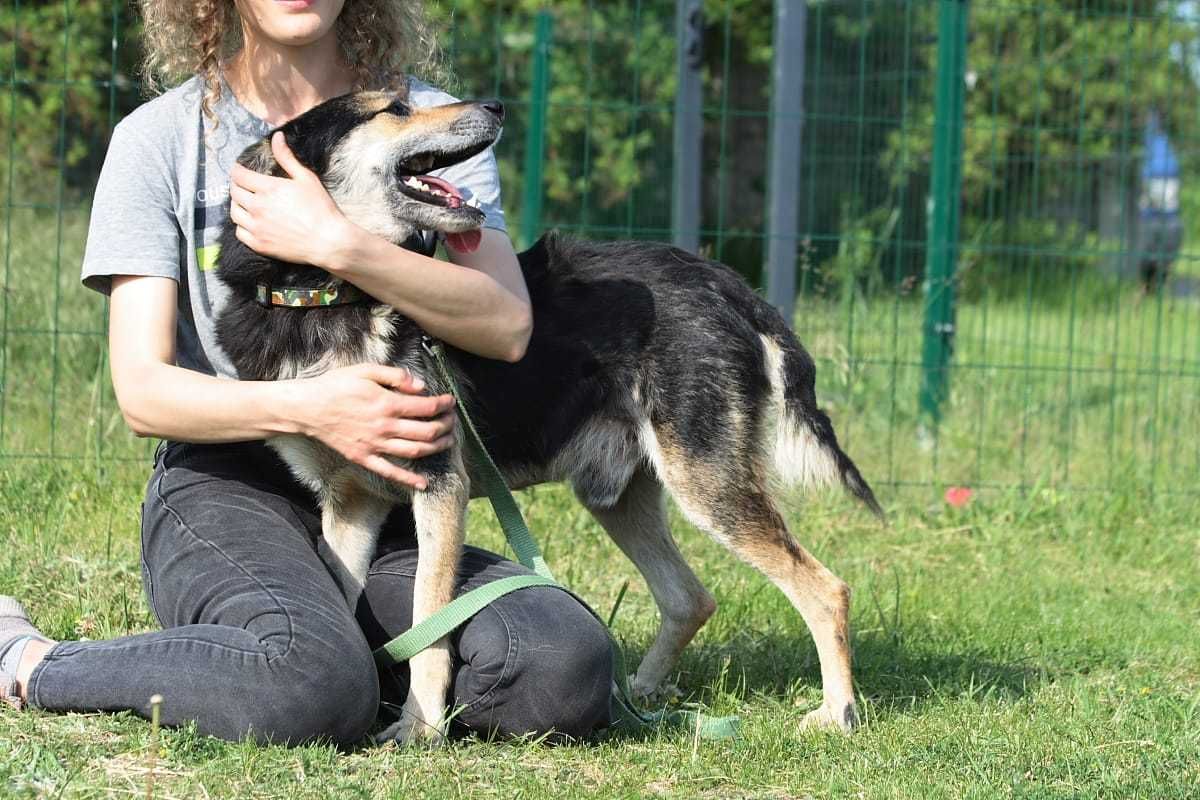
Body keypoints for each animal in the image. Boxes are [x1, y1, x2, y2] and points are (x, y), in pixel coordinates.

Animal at [213, 89, 883, 743]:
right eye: (394, 109)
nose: (496, 105)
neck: (323, 299)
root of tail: (724, 283)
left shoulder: (438, 488)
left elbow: (431, 622)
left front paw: (420, 726)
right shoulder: (351, 505)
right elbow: (348, 606)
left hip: (705, 483)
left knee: (826, 589)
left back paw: (836, 712)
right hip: (621, 495)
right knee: (690, 597)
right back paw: (641, 697)